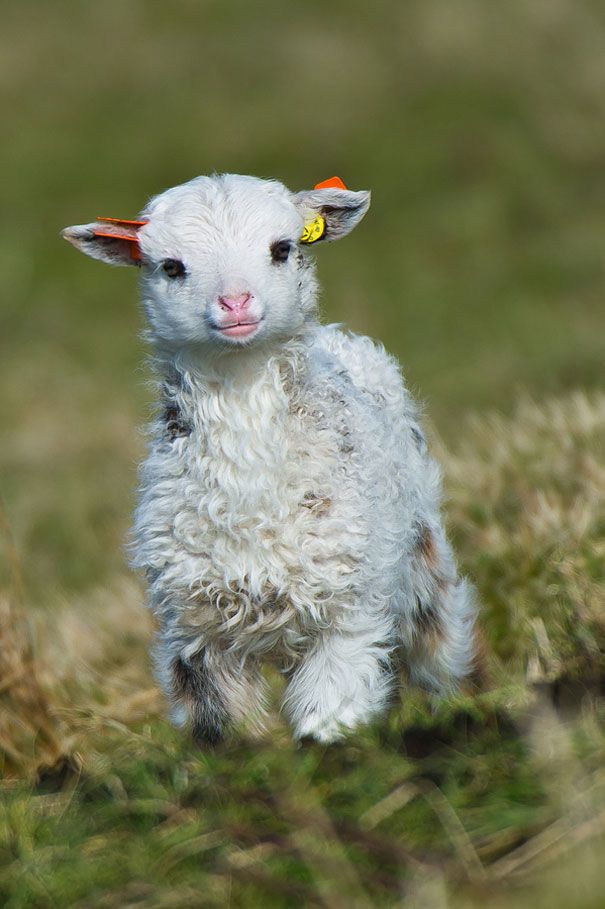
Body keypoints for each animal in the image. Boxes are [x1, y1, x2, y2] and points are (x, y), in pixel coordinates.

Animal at [62, 172, 476, 744]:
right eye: (171, 266)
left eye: (282, 249)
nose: (235, 302)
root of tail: (338, 336)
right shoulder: (194, 628)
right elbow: (222, 726)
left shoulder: (348, 608)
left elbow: (330, 710)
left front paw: (333, 746)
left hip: (422, 561)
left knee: (437, 648)